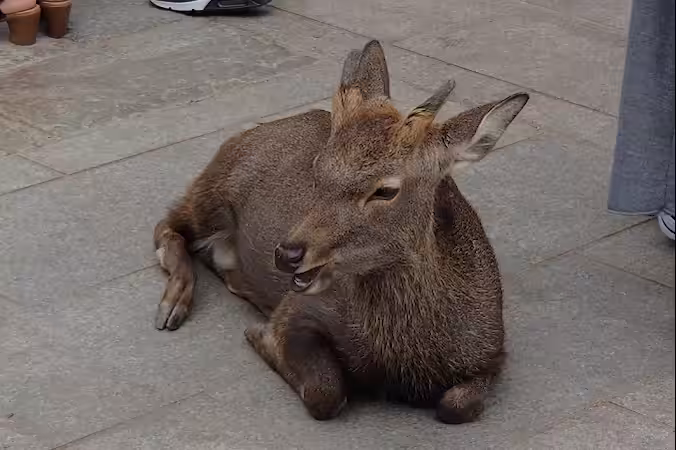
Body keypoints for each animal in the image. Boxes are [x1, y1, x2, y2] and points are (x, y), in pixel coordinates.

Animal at [152, 40, 529, 424]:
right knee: (166, 225)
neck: (407, 363)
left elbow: (456, 406)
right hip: (212, 192)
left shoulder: (493, 352)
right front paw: (259, 336)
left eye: (386, 190)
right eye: (318, 167)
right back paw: (173, 305)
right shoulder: (296, 310)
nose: (287, 253)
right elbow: (326, 392)